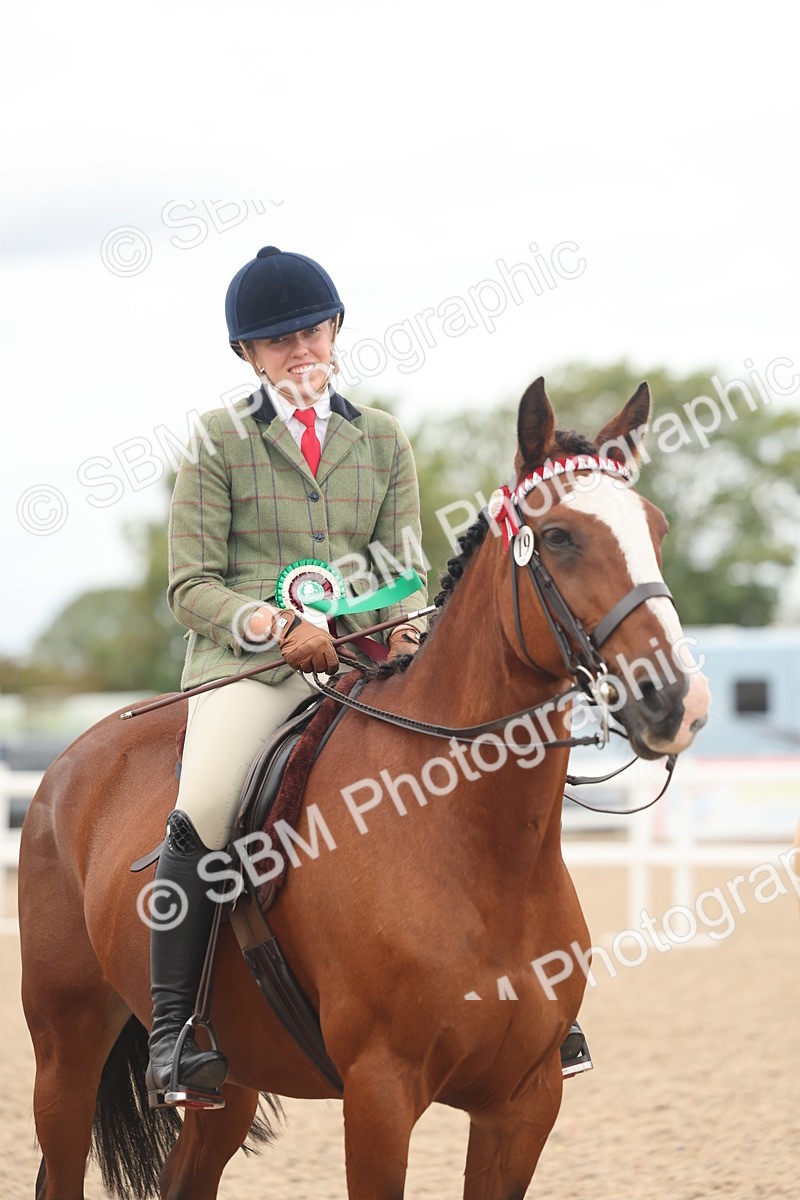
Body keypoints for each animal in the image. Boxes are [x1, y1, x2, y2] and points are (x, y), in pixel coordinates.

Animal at [19, 377, 710, 1200]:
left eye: (657, 530)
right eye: (562, 537)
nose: (678, 701)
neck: (481, 853)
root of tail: (70, 762)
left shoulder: (524, 1102)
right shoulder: (381, 1093)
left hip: (233, 1084)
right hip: (64, 1052)